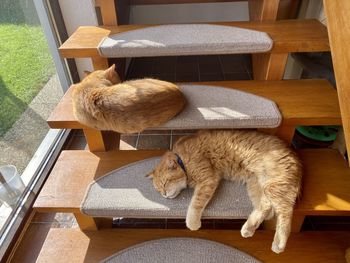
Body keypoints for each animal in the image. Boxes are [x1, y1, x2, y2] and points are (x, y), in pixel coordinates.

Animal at [147, 131, 300, 255]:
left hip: (273, 187)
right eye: (158, 190)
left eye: (165, 183)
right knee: (266, 207)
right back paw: (248, 228)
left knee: (285, 214)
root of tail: (294, 154)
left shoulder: (208, 179)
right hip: (255, 185)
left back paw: (279, 244)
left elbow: (195, 204)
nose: (164, 194)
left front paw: (192, 223)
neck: (183, 159)